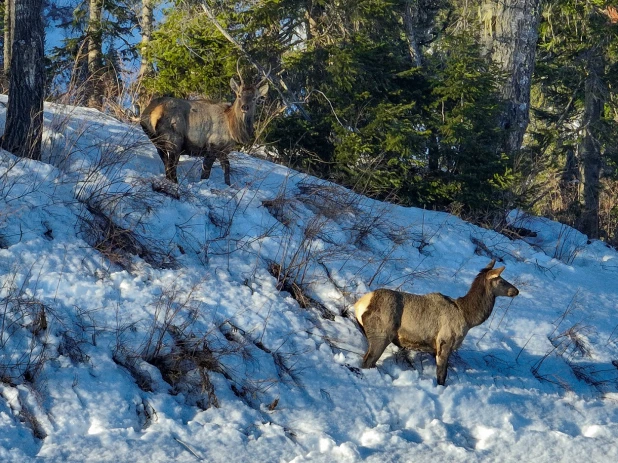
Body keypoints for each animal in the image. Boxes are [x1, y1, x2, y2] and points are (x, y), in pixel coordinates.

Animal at [352, 260, 516, 386]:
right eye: (501, 280)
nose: (516, 290)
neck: (468, 317)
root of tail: (358, 305)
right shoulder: (445, 341)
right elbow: (441, 374)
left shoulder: (434, 347)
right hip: (381, 334)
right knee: (368, 360)